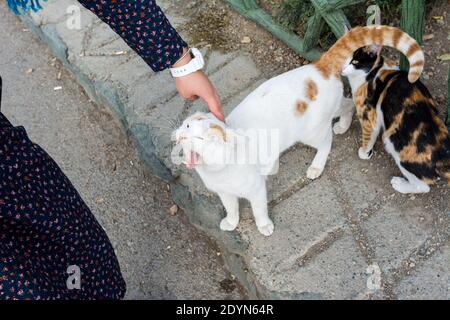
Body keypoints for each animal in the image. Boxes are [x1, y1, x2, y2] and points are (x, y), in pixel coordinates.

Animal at [172, 25, 422, 235]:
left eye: (200, 137)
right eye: (186, 125)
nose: (182, 134)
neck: (216, 172)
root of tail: (319, 65)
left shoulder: (256, 190)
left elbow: (259, 210)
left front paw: (264, 226)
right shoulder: (225, 194)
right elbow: (231, 208)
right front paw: (231, 222)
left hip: (311, 132)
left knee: (327, 141)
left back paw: (317, 165)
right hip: (330, 109)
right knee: (347, 104)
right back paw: (343, 124)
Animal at [342, 46, 448, 194]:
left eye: (355, 61)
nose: (341, 68)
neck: (375, 71)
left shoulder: (369, 116)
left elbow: (368, 137)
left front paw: (364, 153)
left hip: (394, 143)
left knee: (424, 186)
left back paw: (399, 184)